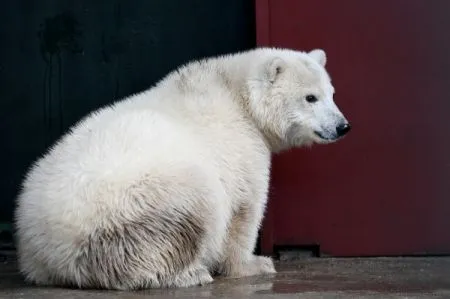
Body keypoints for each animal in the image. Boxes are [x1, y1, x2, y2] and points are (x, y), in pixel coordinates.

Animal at [14, 47, 352, 290]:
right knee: (186, 211)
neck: (234, 91)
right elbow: (244, 208)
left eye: (332, 93)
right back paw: (187, 274)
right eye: (310, 97)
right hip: (138, 199)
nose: (342, 126)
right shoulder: (241, 145)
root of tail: (51, 244)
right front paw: (254, 264)